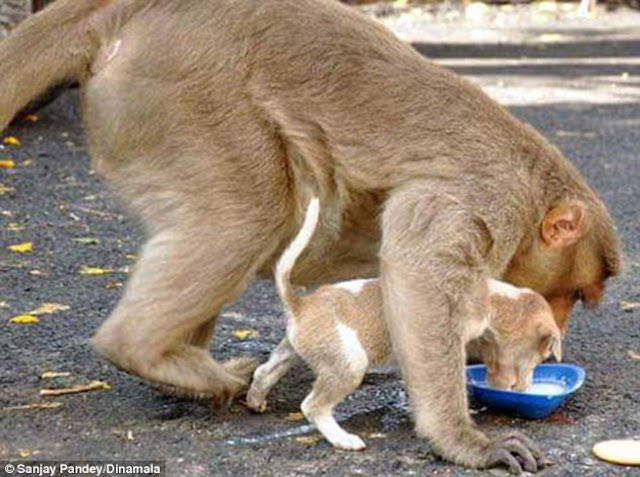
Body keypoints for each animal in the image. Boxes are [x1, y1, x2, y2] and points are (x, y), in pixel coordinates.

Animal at [248, 198, 564, 450]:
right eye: (543, 355)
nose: (524, 388)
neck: (494, 300)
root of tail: (300, 305)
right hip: (349, 364)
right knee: (313, 406)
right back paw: (343, 439)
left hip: (293, 350)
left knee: (265, 371)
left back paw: (255, 400)